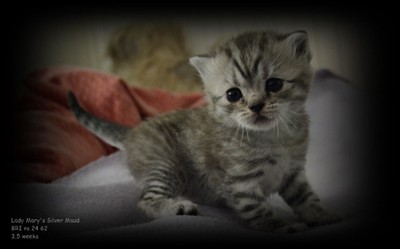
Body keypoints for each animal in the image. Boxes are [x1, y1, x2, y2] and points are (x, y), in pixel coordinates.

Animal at [69, 30, 340, 232]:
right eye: (233, 95)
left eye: (274, 84)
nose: (255, 106)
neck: (274, 138)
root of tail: (134, 131)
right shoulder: (241, 184)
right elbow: (259, 211)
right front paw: (283, 226)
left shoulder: (294, 172)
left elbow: (306, 198)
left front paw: (323, 216)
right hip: (164, 167)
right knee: (145, 200)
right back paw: (176, 208)